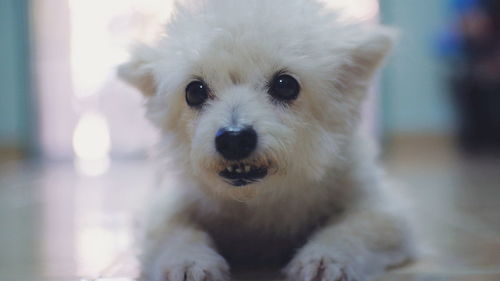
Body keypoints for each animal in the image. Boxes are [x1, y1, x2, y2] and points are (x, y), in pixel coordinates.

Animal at [117, 0, 414, 280]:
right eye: (194, 91)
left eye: (286, 84)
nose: (234, 139)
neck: (259, 200)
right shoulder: (167, 207)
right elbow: (174, 233)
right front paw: (188, 262)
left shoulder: (382, 208)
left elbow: (355, 228)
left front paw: (325, 258)